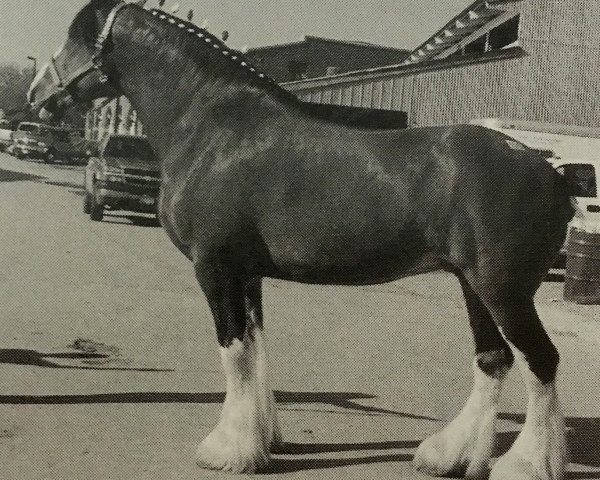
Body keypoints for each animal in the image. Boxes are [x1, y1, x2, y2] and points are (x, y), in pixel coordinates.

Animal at [27, 1, 572, 478]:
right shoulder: (247, 275)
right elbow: (257, 349)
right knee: (494, 360)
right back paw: (450, 456)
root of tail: (552, 174)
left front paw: (226, 450)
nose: (36, 94)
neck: (214, 130)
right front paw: (262, 439)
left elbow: (234, 353)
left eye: (76, 36)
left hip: (503, 291)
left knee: (540, 363)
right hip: (472, 286)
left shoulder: (215, 268)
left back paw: (525, 466)